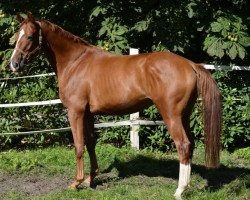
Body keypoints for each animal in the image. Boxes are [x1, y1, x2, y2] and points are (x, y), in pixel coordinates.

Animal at [9, 13, 222, 199]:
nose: (14, 64)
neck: (76, 62)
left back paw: (179, 190)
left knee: (183, 145)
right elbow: (90, 143)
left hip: (171, 116)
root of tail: (191, 64)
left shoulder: (75, 112)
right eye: (16, 36)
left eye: (29, 36)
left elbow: (78, 146)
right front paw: (91, 179)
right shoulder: (88, 114)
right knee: (191, 144)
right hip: (184, 115)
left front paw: (76, 182)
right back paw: (188, 186)